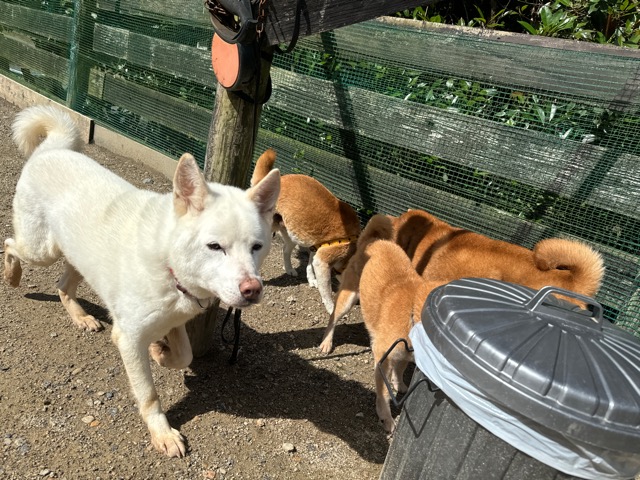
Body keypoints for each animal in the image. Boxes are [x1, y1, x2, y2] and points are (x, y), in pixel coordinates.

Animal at [4, 105, 280, 457]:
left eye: (257, 247)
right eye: (215, 246)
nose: (253, 290)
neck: (168, 262)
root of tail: (52, 150)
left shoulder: (176, 318)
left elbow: (185, 355)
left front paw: (161, 353)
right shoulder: (128, 338)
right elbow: (148, 394)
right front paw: (162, 432)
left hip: (79, 258)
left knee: (63, 286)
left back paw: (81, 318)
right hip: (42, 250)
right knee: (11, 244)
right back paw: (12, 275)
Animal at [250, 149, 361, 313]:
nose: (358, 302)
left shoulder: (316, 248)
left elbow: (310, 264)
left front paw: (312, 279)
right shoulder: (324, 259)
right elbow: (326, 289)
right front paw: (330, 307)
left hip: (291, 233)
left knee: (285, 250)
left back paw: (289, 269)